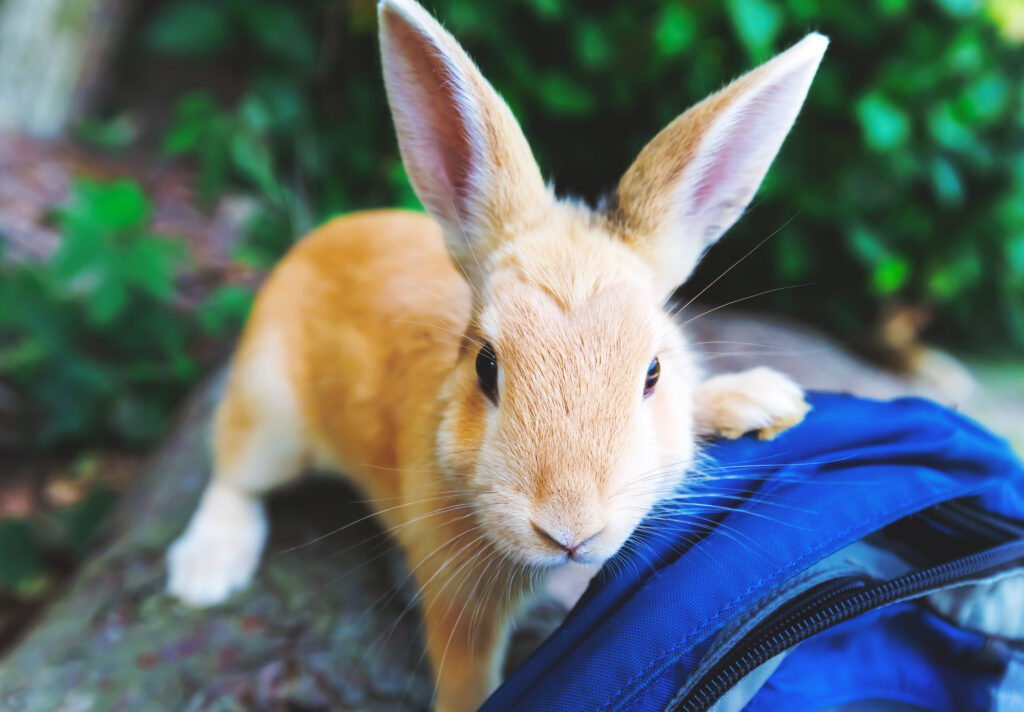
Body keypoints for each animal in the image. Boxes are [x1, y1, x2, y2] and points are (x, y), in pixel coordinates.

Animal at [166, 0, 825, 709]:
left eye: (652, 371)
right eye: (487, 366)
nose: (570, 530)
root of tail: (309, 245)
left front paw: (767, 400)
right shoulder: (461, 605)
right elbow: (467, 676)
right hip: (271, 415)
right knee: (233, 473)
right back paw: (205, 571)